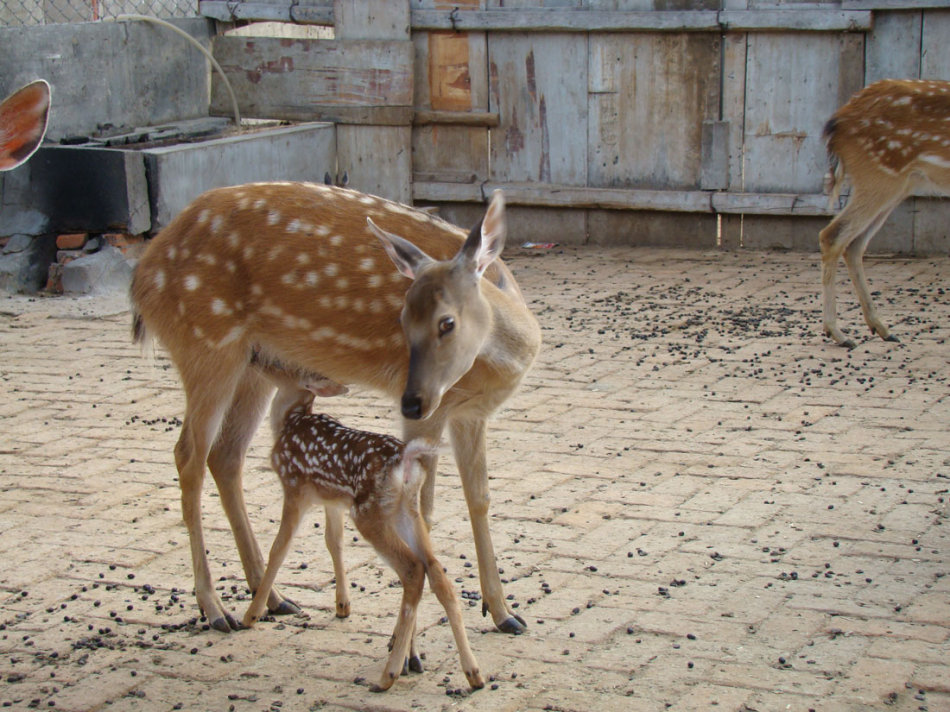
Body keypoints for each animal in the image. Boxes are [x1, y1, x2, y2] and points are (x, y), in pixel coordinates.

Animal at [129, 184, 544, 636]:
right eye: (401, 319)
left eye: (446, 322)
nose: (409, 399)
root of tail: (142, 277)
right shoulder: (438, 411)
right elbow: (427, 509)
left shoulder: (470, 413)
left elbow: (479, 498)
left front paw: (504, 613)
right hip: (206, 346)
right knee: (188, 456)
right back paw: (214, 608)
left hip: (253, 365)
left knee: (226, 455)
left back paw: (273, 599)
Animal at [242, 372, 488, 696]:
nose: (257, 364)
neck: (289, 421)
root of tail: (406, 459)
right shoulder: (333, 500)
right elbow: (333, 542)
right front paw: (342, 606)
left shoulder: (295, 488)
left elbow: (278, 549)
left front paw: (251, 614)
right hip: (407, 511)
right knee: (437, 571)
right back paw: (473, 673)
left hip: (370, 513)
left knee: (413, 569)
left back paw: (389, 675)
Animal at [820, 79, 950, 350]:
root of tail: (836, 122)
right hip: (879, 175)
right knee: (833, 235)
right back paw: (839, 333)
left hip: (898, 184)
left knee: (854, 243)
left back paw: (882, 329)